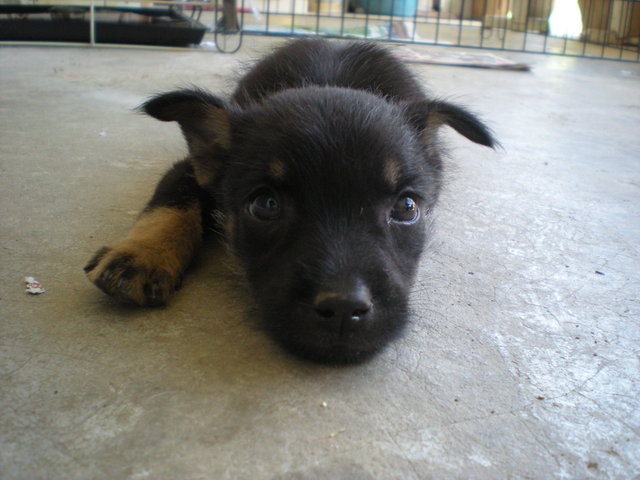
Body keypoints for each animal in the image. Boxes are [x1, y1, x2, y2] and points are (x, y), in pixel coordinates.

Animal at [85, 38, 496, 364]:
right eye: (265, 205)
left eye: (407, 208)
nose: (343, 309)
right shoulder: (190, 170)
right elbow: (172, 202)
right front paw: (140, 255)